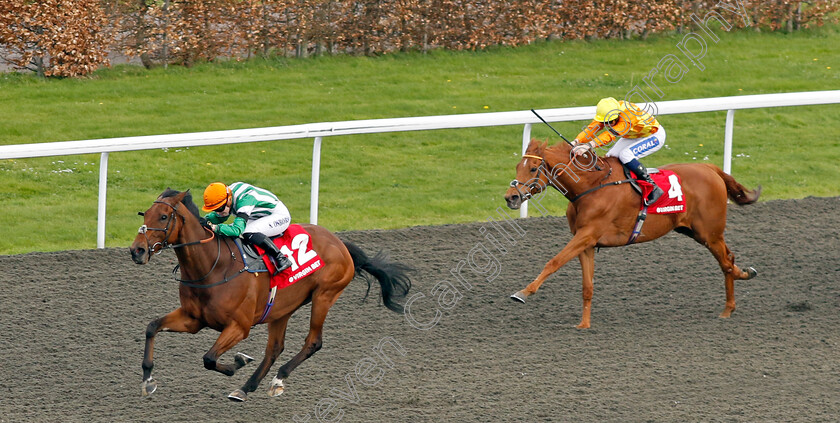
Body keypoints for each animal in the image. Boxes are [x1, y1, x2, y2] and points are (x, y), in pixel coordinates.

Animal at [127, 189, 410, 400]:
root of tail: (340, 242)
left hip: (325, 295)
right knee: (275, 348)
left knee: (313, 342)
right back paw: (246, 388)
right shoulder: (193, 319)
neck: (213, 266)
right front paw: (148, 380)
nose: (137, 250)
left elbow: (209, 358)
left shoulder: (239, 326)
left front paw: (238, 362)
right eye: (145, 213)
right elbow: (152, 327)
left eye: (164, 217)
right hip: (281, 309)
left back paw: (277, 379)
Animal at [506, 141, 760, 330]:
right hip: (696, 232)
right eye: (517, 166)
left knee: (726, 262)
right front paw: (584, 324)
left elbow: (554, 261)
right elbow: (587, 285)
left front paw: (523, 292)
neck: (591, 186)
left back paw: (728, 308)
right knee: (729, 259)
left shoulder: (587, 235)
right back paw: (745, 274)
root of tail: (710, 168)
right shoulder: (586, 243)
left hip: (710, 233)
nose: (511, 197)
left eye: (532, 169)